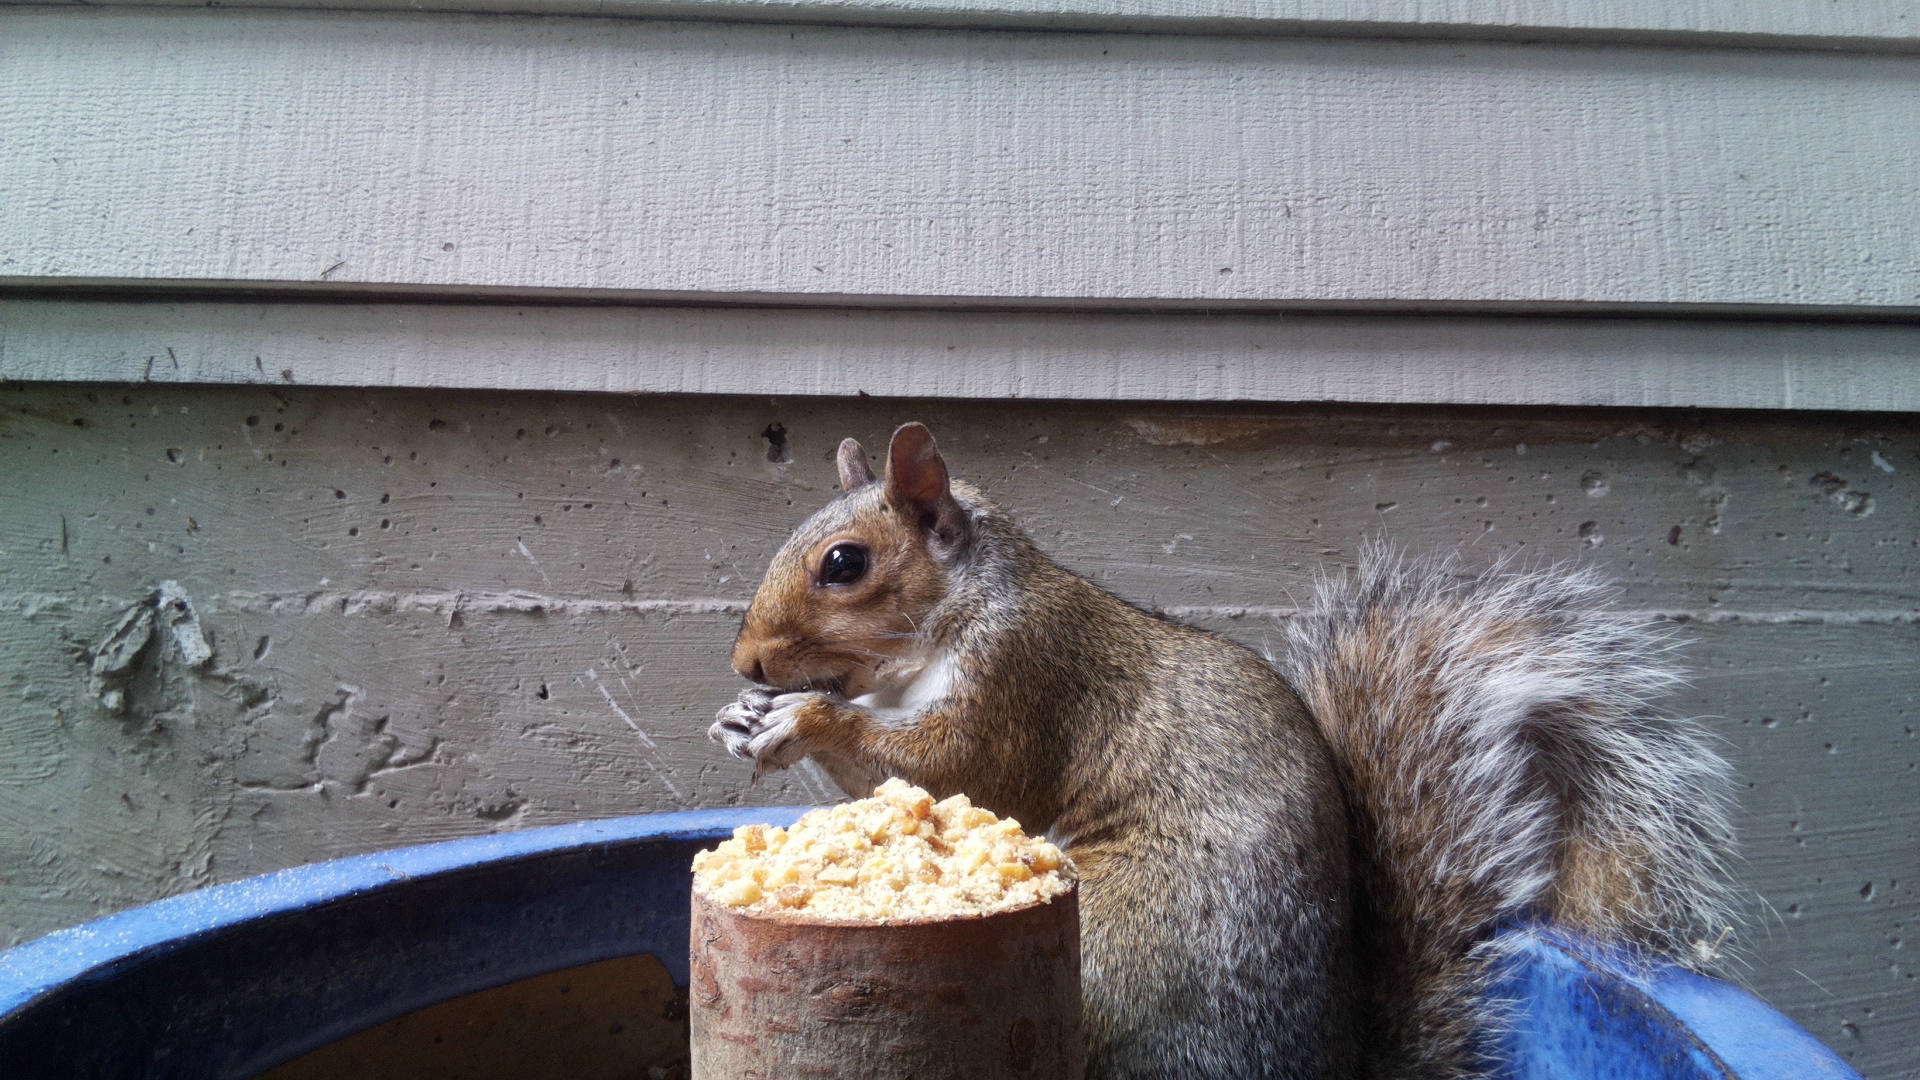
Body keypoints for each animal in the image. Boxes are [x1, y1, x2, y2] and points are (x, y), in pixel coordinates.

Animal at [710, 422, 1739, 1079]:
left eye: (845, 564)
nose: (747, 661)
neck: (944, 627)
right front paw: (744, 719)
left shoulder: (1026, 680)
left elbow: (952, 773)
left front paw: (804, 719)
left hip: (1109, 948)